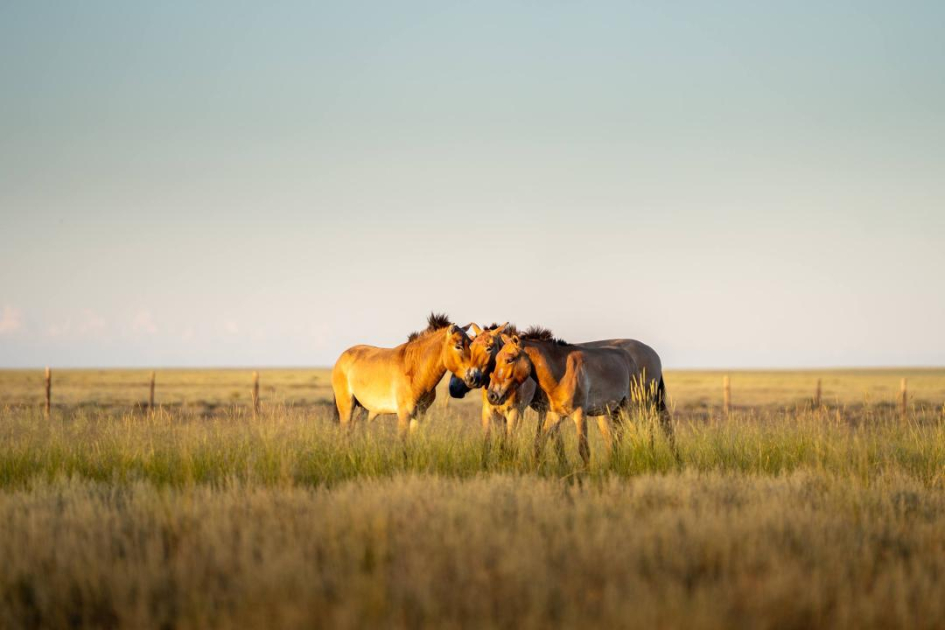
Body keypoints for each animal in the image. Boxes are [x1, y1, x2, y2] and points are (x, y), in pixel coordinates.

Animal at [331, 313, 476, 437]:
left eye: (471, 345)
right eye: (458, 346)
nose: (473, 377)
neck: (416, 372)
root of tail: (342, 357)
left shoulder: (419, 414)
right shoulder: (404, 415)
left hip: (367, 409)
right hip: (347, 406)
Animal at [486, 332, 638, 466]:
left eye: (509, 359)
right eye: (496, 359)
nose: (491, 396)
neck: (561, 374)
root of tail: (628, 357)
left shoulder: (579, 413)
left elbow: (584, 450)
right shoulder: (554, 415)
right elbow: (539, 445)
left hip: (628, 408)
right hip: (610, 412)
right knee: (614, 439)